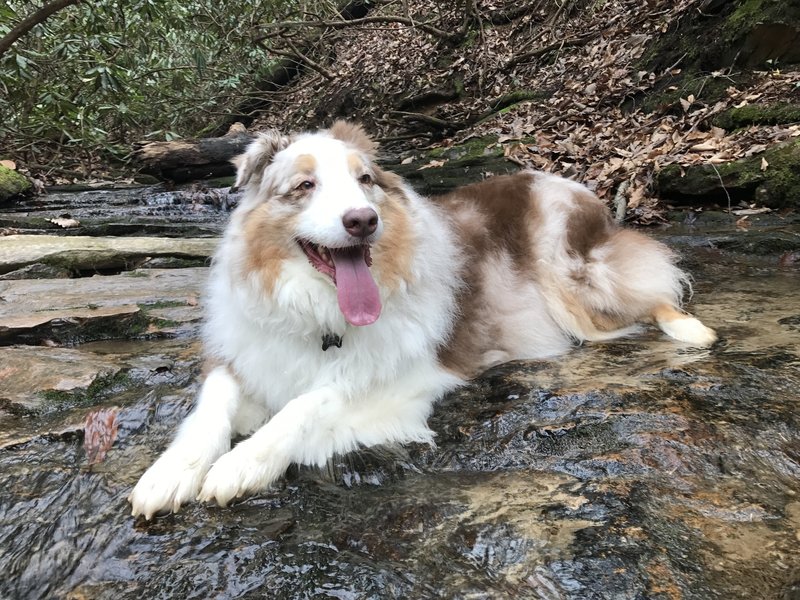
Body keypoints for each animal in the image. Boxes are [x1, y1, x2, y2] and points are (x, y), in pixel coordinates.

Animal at [128, 119, 716, 516]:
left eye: (365, 180)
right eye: (304, 186)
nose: (363, 220)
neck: (320, 314)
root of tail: (573, 184)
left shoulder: (404, 381)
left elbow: (309, 403)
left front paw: (243, 462)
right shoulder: (239, 352)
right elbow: (213, 406)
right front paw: (170, 473)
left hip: (571, 280)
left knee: (651, 288)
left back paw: (690, 329)